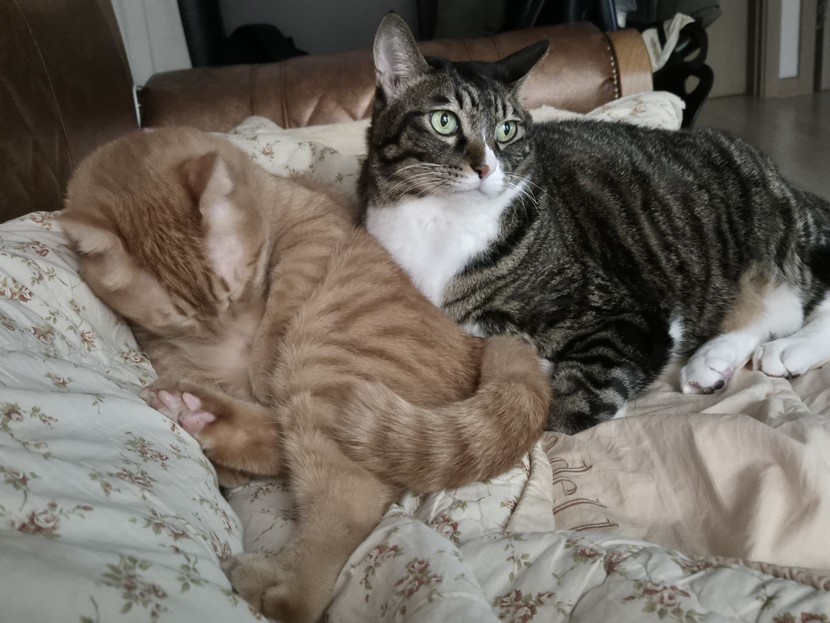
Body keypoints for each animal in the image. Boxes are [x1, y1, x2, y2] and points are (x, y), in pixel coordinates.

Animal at [60, 127, 551, 623]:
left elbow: (285, 299)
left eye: (238, 288)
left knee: (335, 522)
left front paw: (260, 354)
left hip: (320, 365)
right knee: (283, 441)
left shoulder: (312, 231)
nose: (240, 339)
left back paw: (276, 583)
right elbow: (180, 359)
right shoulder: (159, 342)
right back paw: (197, 413)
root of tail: (480, 346)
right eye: (184, 319)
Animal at [360, 13, 830, 434]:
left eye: (508, 130)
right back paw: (710, 362)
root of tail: (782, 179)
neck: (444, 223)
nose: (486, 167)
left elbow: (566, 405)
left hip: (775, 228)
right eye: (444, 121)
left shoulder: (633, 316)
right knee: (774, 311)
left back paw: (788, 350)